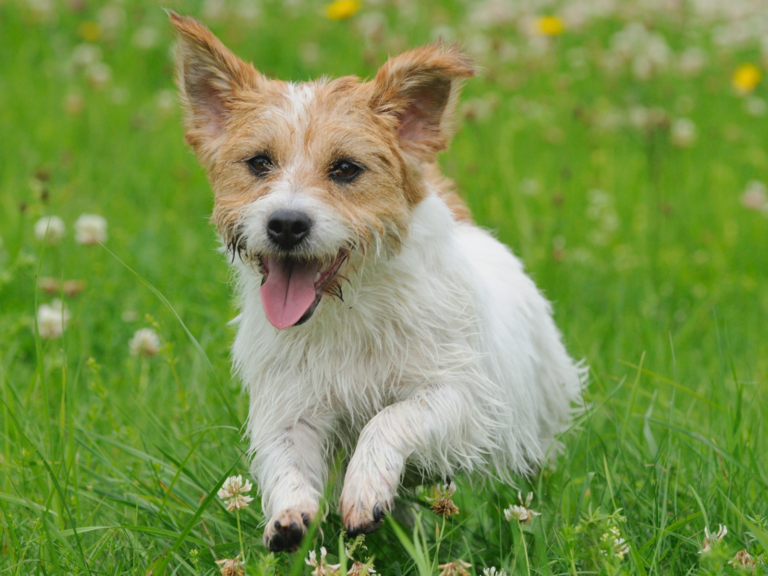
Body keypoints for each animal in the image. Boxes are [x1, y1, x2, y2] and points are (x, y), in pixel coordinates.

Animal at [171, 12, 584, 552]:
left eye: (346, 168)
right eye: (259, 162)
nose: (286, 224)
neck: (349, 308)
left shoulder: (459, 398)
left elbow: (389, 418)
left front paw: (365, 487)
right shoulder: (290, 407)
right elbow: (286, 459)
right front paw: (290, 513)